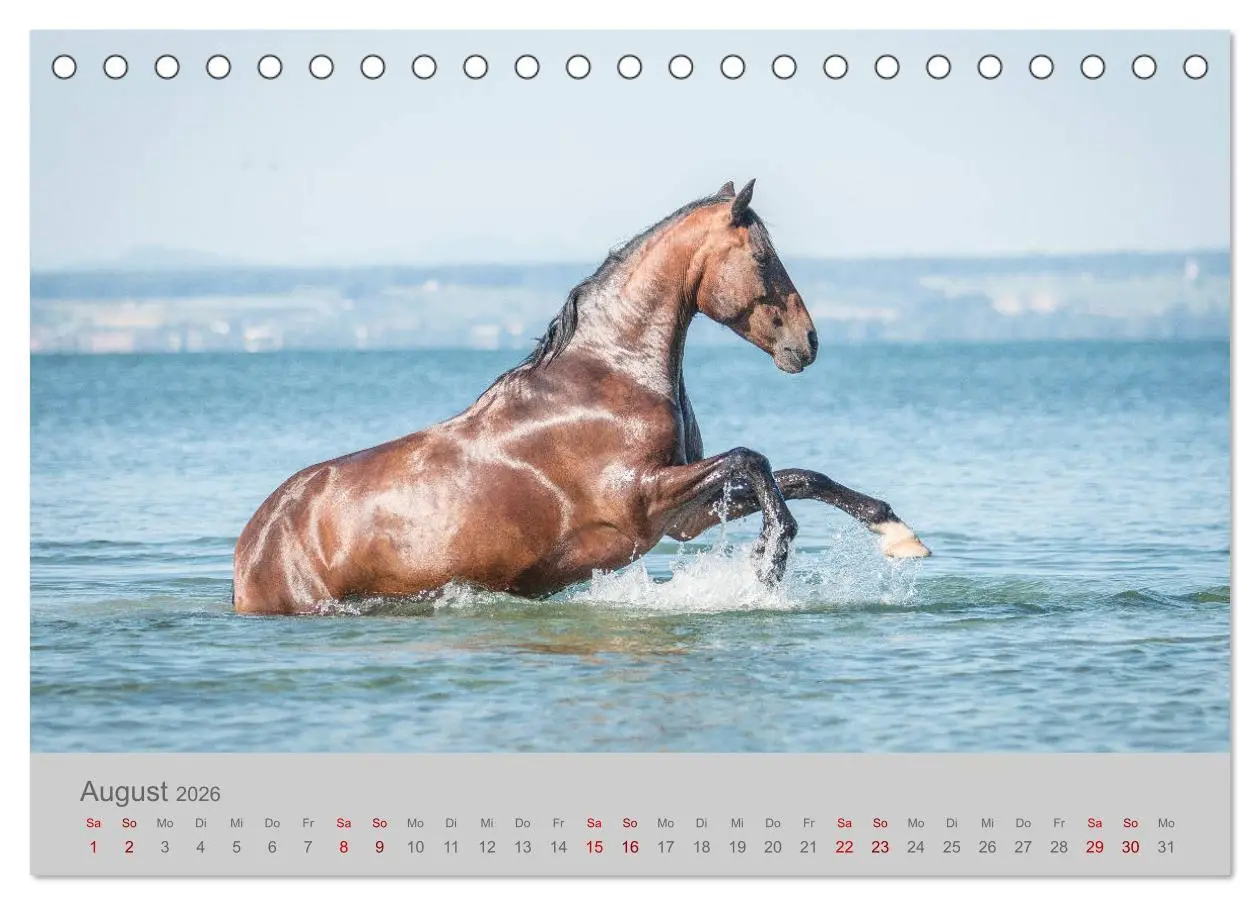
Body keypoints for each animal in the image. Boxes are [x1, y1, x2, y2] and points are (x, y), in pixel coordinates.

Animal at [232, 179, 929, 615]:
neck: (611, 374)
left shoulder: (678, 517)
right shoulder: (641, 501)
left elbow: (800, 475)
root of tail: (252, 546)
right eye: (763, 257)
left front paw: (898, 535)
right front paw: (765, 566)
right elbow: (754, 462)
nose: (806, 342)